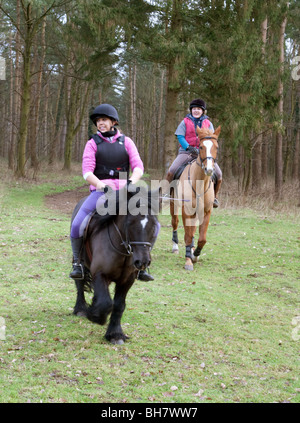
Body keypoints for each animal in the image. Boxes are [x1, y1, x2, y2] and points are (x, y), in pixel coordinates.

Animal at [71, 186, 159, 344]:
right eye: (130, 223)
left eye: (153, 225)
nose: (142, 261)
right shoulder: (100, 274)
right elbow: (106, 303)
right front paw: (95, 316)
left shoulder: (127, 280)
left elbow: (118, 305)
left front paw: (115, 334)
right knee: (79, 282)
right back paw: (80, 309)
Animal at [171, 126, 220, 272]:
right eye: (201, 146)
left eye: (216, 147)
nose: (209, 169)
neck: (199, 183)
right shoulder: (186, 210)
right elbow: (187, 235)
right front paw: (188, 260)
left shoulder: (206, 212)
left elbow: (202, 238)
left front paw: (195, 254)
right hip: (174, 204)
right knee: (175, 223)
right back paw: (175, 247)